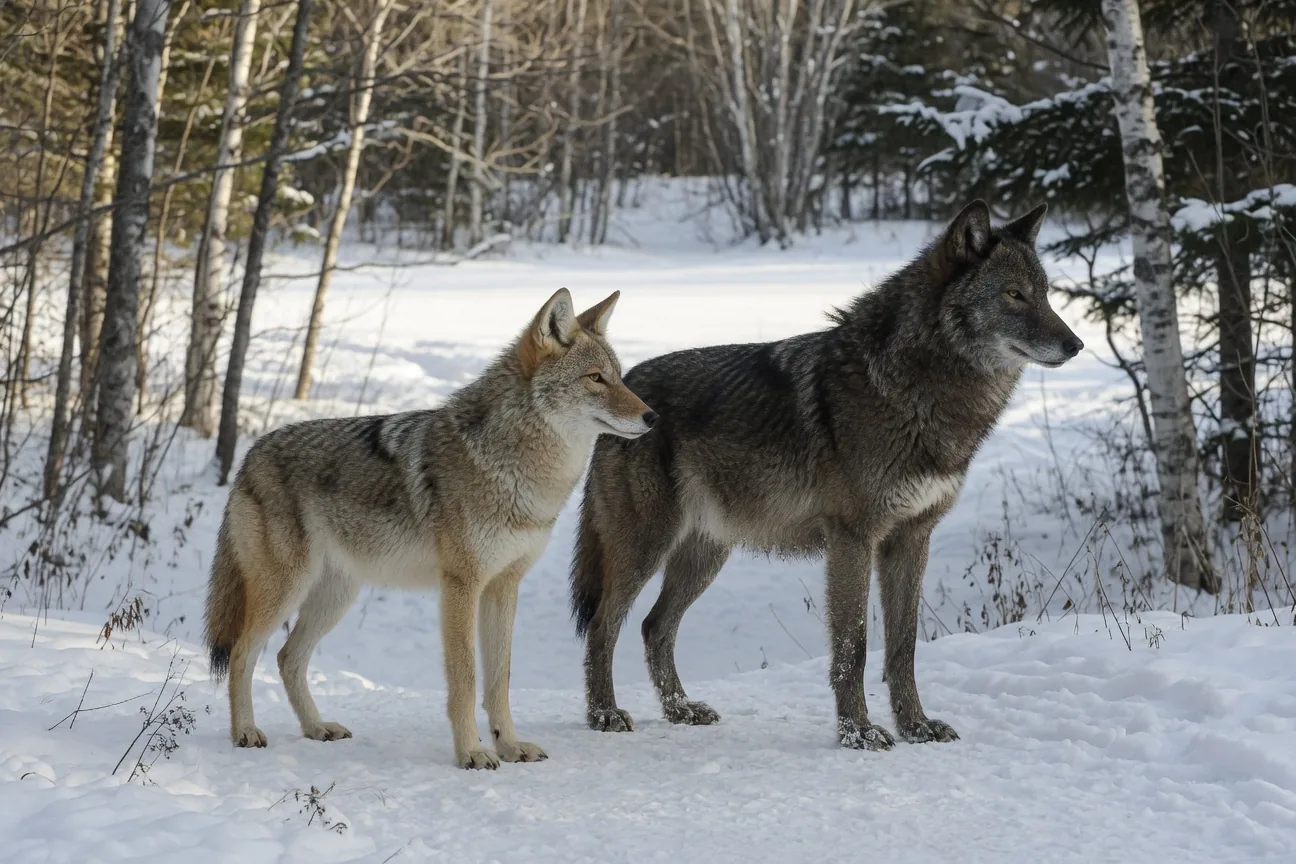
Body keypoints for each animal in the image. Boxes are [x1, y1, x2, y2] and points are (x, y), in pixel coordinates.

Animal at [204, 288, 656, 769]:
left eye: (619, 377)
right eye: (596, 378)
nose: (653, 417)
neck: (519, 471)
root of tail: (250, 455)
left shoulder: (503, 587)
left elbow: (500, 679)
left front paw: (510, 746)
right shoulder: (461, 586)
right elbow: (465, 680)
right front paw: (472, 753)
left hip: (336, 597)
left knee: (288, 657)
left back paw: (317, 728)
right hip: (286, 591)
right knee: (241, 653)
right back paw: (246, 732)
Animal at [570, 201, 1082, 751]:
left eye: (1045, 294)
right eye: (1014, 295)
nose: (1075, 345)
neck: (916, 390)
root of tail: (625, 386)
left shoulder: (911, 538)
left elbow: (903, 646)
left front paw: (916, 726)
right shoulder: (852, 539)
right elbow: (854, 646)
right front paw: (859, 732)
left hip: (706, 555)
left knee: (654, 627)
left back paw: (681, 710)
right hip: (647, 548)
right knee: (602, 626)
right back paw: (604, 714)